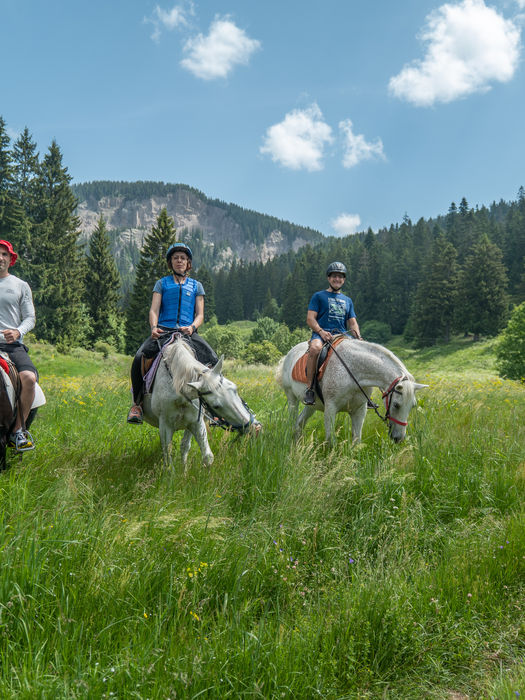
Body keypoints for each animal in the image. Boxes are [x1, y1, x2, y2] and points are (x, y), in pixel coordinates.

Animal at [142, 336, 257, 467]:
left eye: (235, 389)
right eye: (216, 406)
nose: (255, 427)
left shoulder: (195, 422)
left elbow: (201, 454)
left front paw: (185, 470)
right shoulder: (165, 426)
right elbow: (168, 457)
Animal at [276, 338, 427, 444]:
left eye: (413, 406)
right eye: (396, 405)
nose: (399, 438)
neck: (353, 371)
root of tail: (290, 352)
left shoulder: (359, 410)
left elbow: (356, 440)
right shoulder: (330, 409)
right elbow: (330, 441)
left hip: (311, 406)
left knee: (299, 424)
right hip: (292, 398)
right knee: (293, 421)